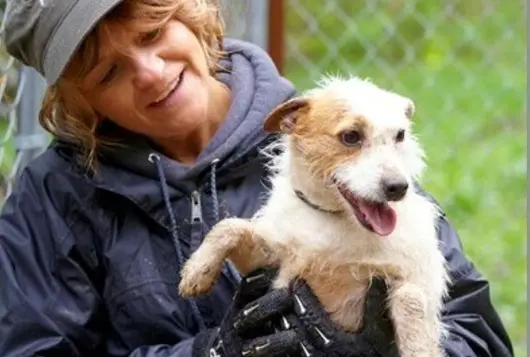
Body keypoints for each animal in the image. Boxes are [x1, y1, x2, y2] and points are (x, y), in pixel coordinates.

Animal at [179, 73, 448, 354]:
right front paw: (197, 271)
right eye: (351, 136)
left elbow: (412, 310)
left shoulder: (409, 279)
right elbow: (229, 226)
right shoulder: (265, 261)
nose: (398, 187)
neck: (333, 218)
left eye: (400, 135)